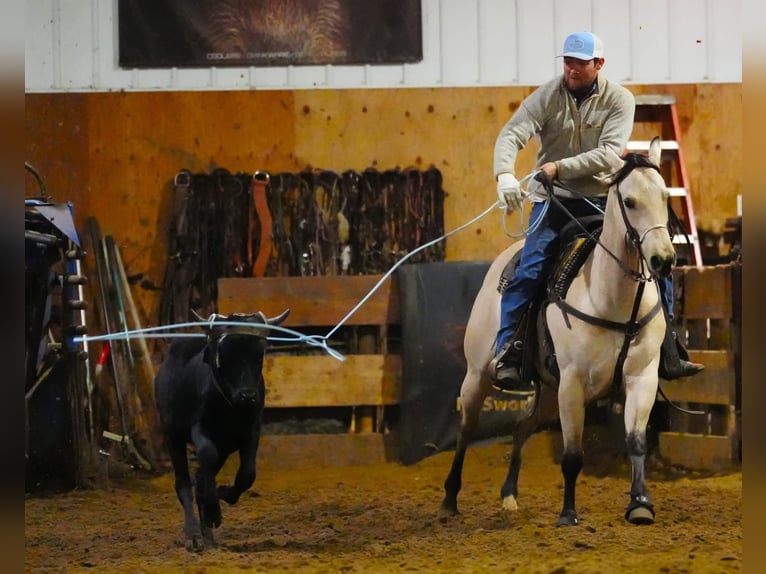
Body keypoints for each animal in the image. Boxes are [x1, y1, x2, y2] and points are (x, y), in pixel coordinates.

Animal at [439, 137, 675, 526]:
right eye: (629, 201)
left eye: (666, 196)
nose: (664, 260)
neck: (612, 301)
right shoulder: (573, 383)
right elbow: (573, 454)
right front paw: (568, 513)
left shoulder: (642, 377)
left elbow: (636, 442)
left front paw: (640, 504)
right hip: (478, 375)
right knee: (466, 429)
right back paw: (449, 499)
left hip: (548, 389)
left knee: (521, 426)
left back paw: (509, 496)